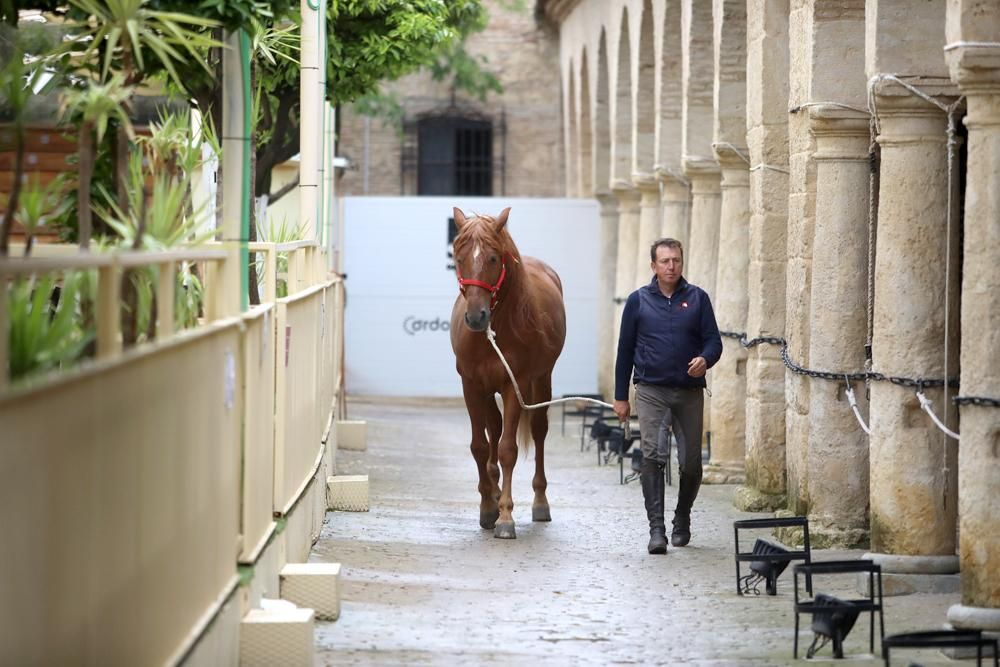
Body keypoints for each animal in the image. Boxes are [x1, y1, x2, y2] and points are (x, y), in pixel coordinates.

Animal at [450, 206, 568, 540]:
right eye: (459, 257)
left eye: (492, 258)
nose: (476, 317)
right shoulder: (471, 385)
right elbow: (480, 446)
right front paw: (488, 507)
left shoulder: (514, 385)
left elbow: (507, 450)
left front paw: (504, 516)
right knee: (493, 426)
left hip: (542, 380)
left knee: (538, 430)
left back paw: (540, 502)